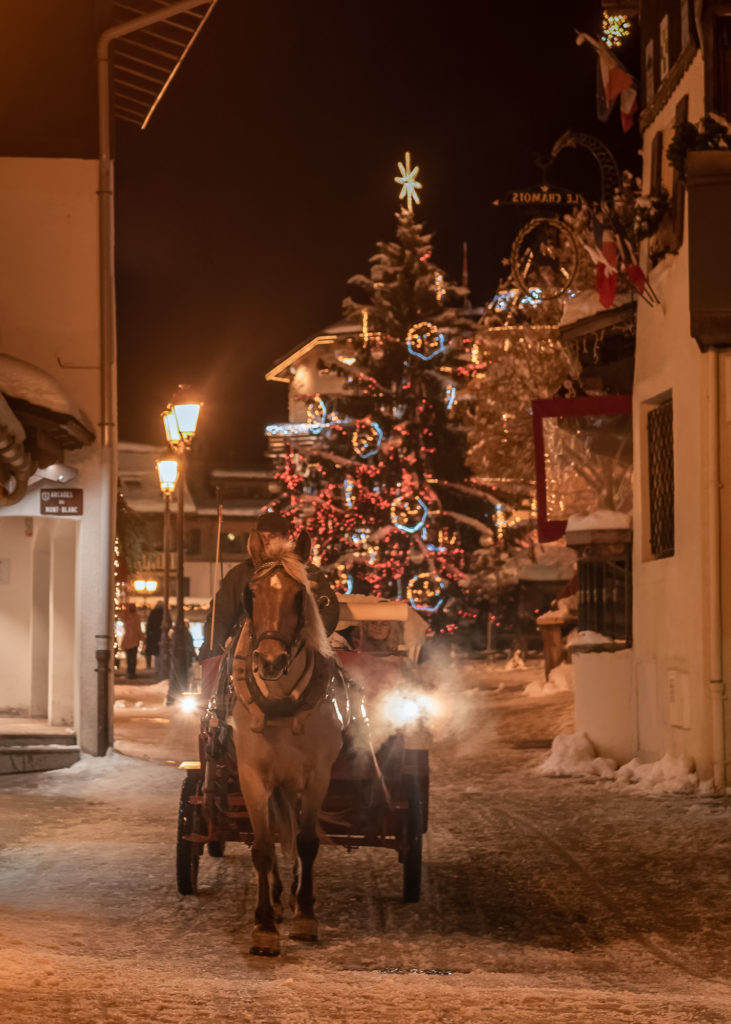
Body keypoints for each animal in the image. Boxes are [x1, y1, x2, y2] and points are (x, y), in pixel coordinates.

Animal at [230, 532, 341, 954]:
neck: (279, 701)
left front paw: (306, 915)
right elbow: (263, 846)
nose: (271, 661)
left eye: (300, 595)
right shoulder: (251, 774)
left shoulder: (318, 775)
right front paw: (263, 925)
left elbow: (307, 842)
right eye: (252, 593)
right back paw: (278, 898)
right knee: (279, 832)